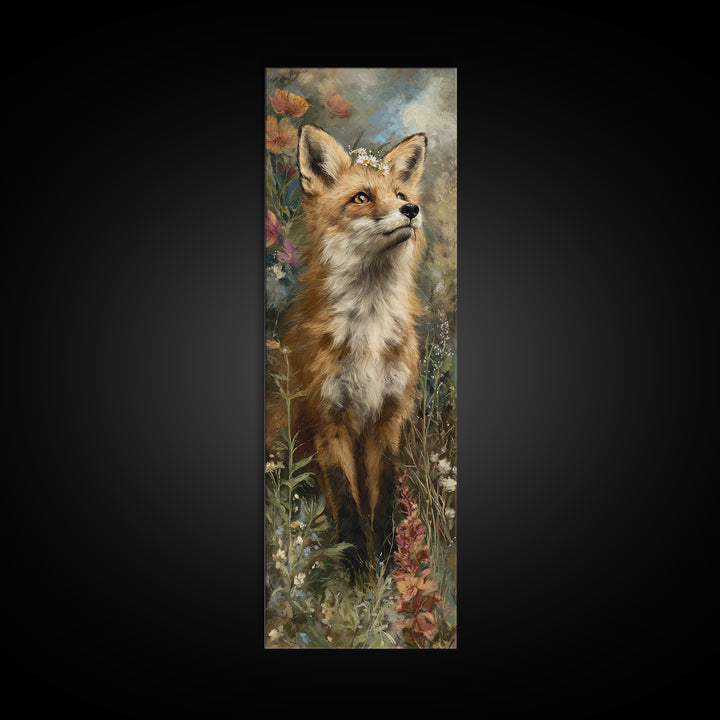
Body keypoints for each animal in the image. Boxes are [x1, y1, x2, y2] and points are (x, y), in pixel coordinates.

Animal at [270, 121, 428, 575]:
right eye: (361, 198)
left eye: (400, 195)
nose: (411, 210)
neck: (368, 329)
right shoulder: (329, 422)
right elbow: (346, 502)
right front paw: (357, 568)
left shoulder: (387, 420)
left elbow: (385, 500)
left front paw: (389, 564)